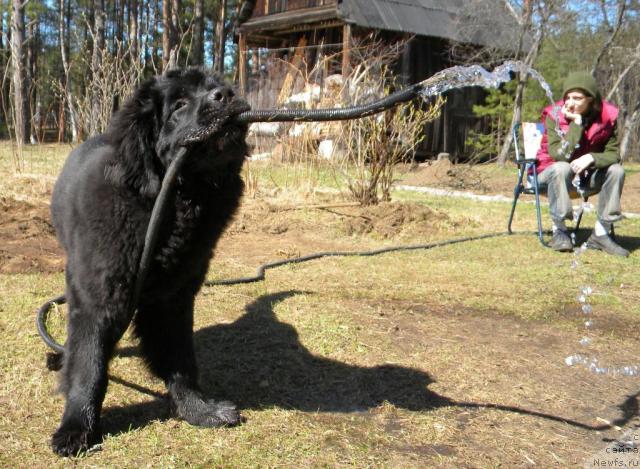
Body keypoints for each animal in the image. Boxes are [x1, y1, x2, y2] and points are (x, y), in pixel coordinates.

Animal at [49, 68, 250, 454]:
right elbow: (88, 364)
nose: (225, 95)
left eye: (216, 86)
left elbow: (181, 358)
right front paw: (76, 428)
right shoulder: (98, 299)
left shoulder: (173, 300)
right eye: (180, 104)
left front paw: (198, 409)